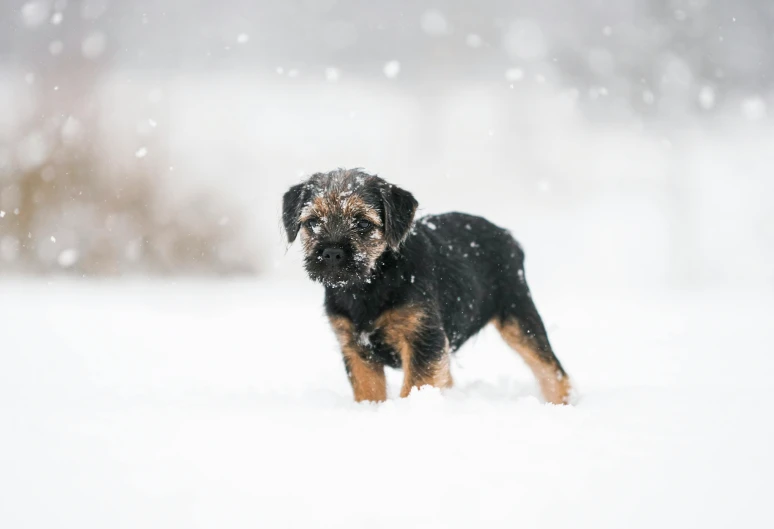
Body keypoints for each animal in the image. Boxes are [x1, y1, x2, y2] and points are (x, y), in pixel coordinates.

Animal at [282, 169, 572, 404]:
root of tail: (508, 236)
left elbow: (416, 384)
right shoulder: (356, 348)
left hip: (518, 314)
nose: (331, 253)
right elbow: (369, 390)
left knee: (551, 369)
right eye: (312, 222)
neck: (369, 285)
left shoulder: (423, 338)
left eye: (363, 223)